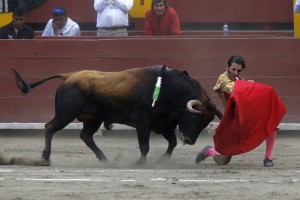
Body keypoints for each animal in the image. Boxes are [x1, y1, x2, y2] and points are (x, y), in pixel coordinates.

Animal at [11, 65, 221, 164]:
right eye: (194, 117)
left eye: (205, 123)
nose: (190, 140)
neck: (170, 90)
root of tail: (69, 76)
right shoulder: (143, 122)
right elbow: (144, 145)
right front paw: (140, 163)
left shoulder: (164, 125)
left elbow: (172, 143)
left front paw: (162, 159)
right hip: (66, 114)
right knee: (50, 127)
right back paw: (46, 156)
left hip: (92, 119)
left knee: (86, 136)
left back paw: (103, 158)